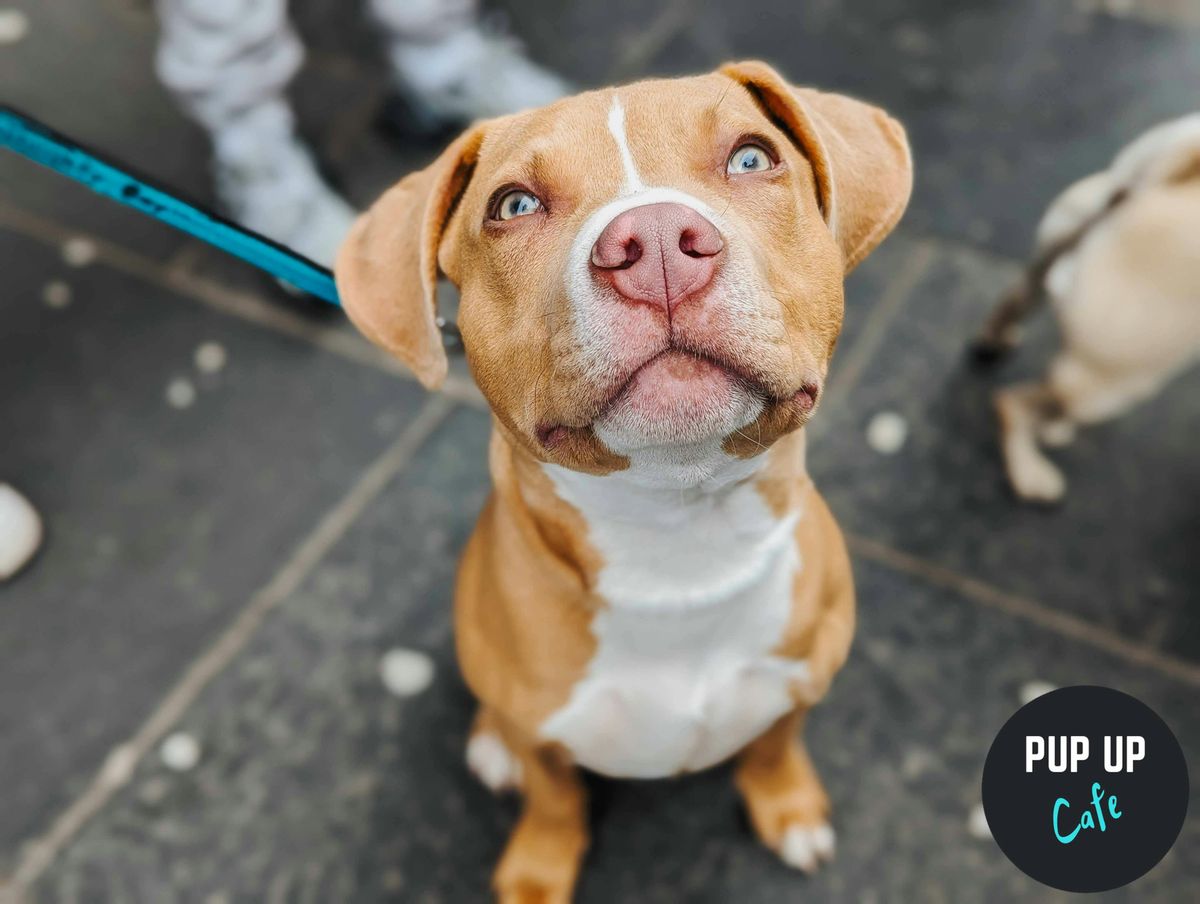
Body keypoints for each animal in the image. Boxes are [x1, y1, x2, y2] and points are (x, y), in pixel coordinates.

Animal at [338, 60, 907, 897]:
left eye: (752, 156)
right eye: (513, 204)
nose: (660, 242)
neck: (679, 540)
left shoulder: (802, 682)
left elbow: (775, 743)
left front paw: (787, 805)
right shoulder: (542, 732)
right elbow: (553, 798)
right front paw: (538, 871)